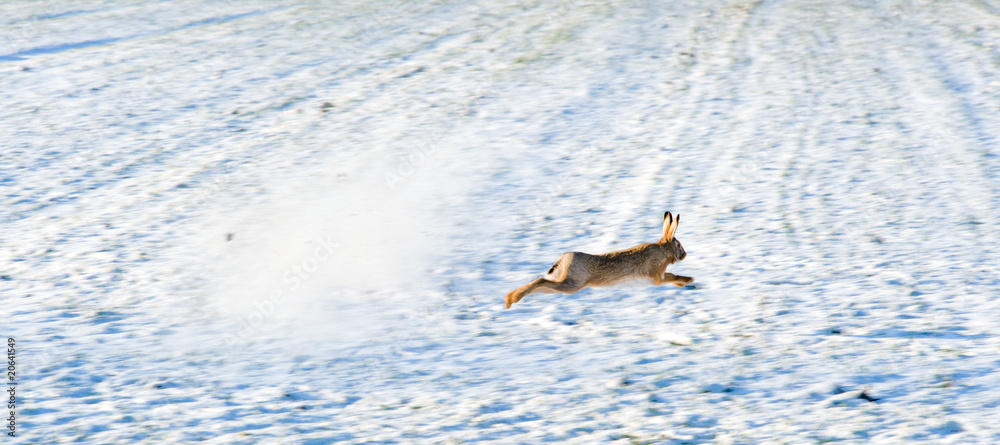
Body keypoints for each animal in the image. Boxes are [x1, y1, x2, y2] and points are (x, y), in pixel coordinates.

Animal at [505, 211, 693, 309]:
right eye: (678, 245)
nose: (685, 254)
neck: (663, 250)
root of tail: (562, 260)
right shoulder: (656, 277)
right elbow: (671, 276)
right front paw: (688, 280)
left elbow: (672, 275)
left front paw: (684, 283)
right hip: (572, 285)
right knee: (540, 280)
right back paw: (512, 300)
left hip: (565, 285)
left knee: (541, 284)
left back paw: (510, 298)